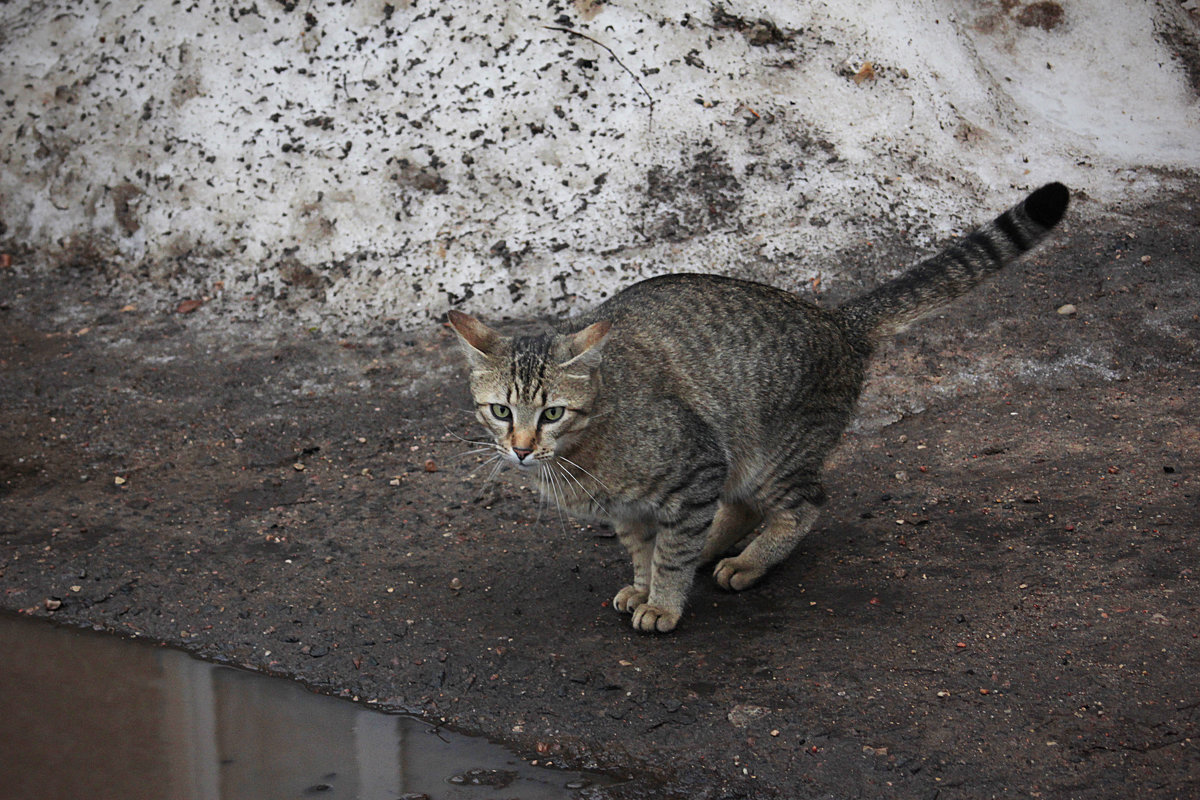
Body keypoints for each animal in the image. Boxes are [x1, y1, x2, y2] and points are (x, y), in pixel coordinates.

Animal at [448, 181, 1070, 633]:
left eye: (552, 413)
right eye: (500, 412)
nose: (520, 449)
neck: (583, 449)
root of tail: (837, 320)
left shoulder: (695, 466)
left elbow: (669, 554)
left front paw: (664, 602)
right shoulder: (633, 509)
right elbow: (646, 548)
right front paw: (645, 583)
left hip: (772, 455)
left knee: (804, 504)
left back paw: (747, 562)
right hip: (741, 458)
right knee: (738, 510)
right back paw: (715, 549)